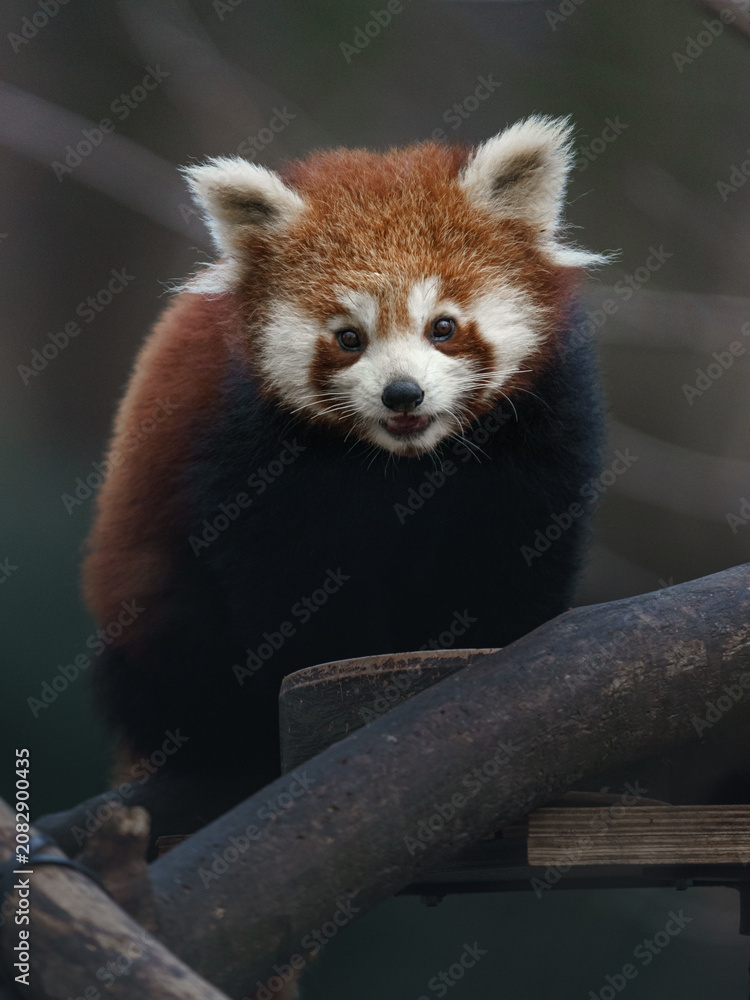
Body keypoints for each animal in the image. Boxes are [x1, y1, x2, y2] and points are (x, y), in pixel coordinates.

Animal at [83, 116, 606, 846]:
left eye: (443, 327)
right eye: (349, 337)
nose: (402, 394)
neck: (405, 462)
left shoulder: (537, 434)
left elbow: (516, 559)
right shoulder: (251, 455)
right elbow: (295, 592)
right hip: (149, 605)